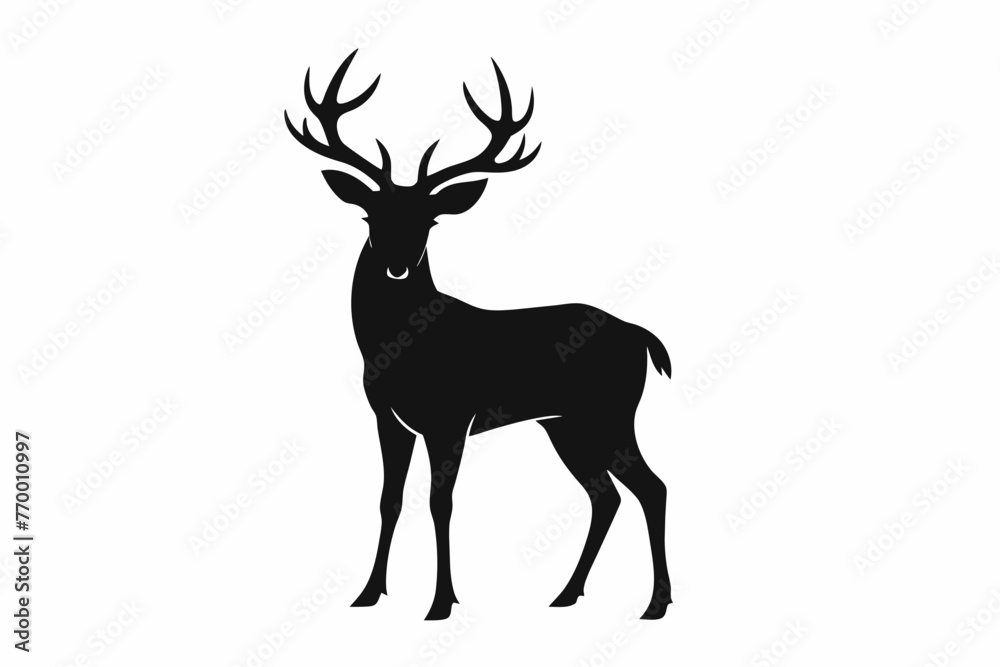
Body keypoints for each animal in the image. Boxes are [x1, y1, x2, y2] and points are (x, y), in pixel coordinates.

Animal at [285, 50, 673, 621]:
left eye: (430, 221)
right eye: (369, 214)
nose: (398, 266)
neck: (395, 349)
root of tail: (642, 336)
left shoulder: (451, 416)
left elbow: (440, 502)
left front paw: (441, 602)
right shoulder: (388, 418)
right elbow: (388, 499)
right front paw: (368, 593)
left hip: (611, 411)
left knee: (652, 487)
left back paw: (655, 603)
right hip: (565, 424)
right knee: (606, 495)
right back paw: (566, 594)